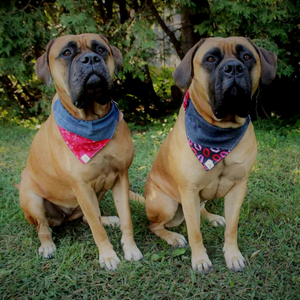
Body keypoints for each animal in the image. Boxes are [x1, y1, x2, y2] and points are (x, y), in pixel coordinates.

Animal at [16, 34, 143, 270]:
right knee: (43, 227)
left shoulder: (120, 177)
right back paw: (47, 246)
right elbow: (96, 229)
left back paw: (108, 219)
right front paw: (108, 256)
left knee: (87, 217)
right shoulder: (82, 187)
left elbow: (126, 218)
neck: (91, 122)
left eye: (101, 50)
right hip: (32, 198)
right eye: (67, 53)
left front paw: (130, 248)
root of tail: (65, 217)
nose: (90, 59)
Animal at [144, 37, 278, 272]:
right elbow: (194, 231)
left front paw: (233, 255)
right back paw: (172, 237)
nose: (233, 67)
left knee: (200, 210)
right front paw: (200, 259)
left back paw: (212, 217)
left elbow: (232, 227)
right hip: (167, 203)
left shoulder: (238, 187)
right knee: (156, 225)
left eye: (246, 56)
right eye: (210, 59)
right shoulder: (188, 190)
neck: (219, 131)